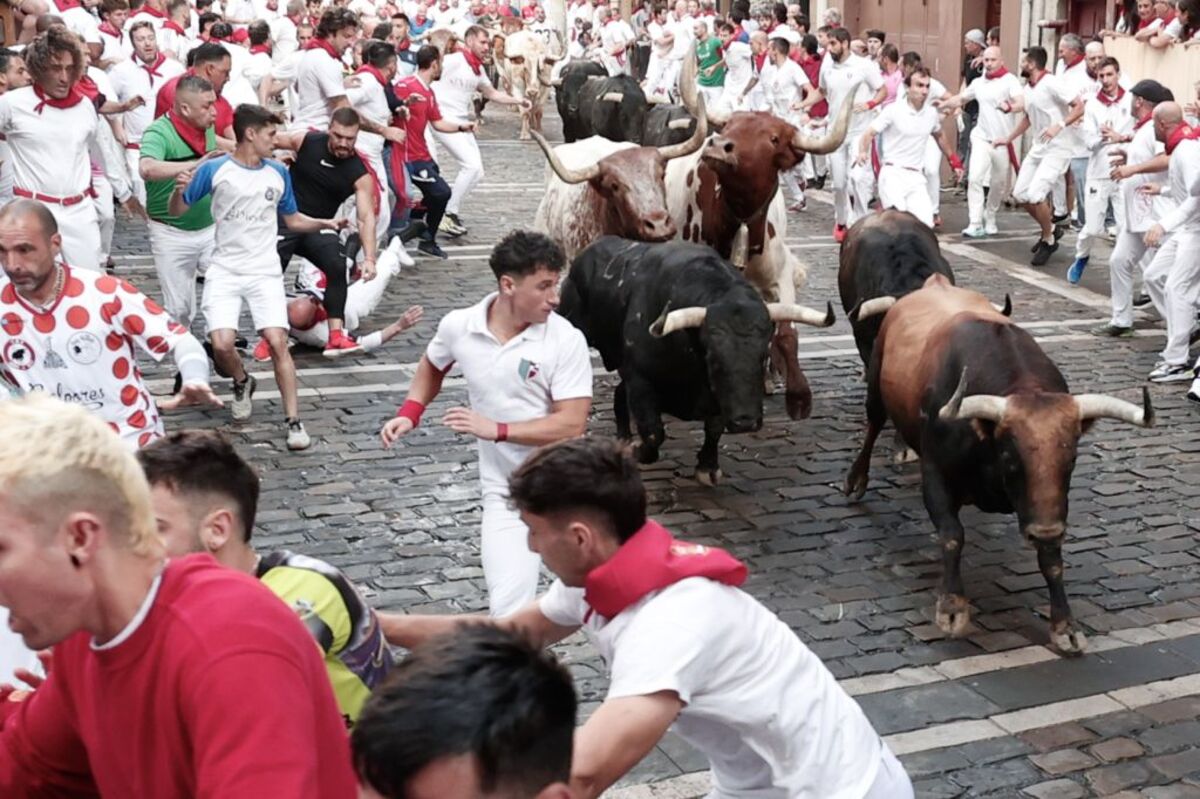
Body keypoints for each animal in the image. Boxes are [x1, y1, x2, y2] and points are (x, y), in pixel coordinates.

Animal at [556, 233, 830, 482]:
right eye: (712, 356)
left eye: (763, 356)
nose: (745, 422)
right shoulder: (641, 379)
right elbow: (653, 432)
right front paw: (638, 451)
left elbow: (714, 427)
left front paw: (707, 466)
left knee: (619, 396)